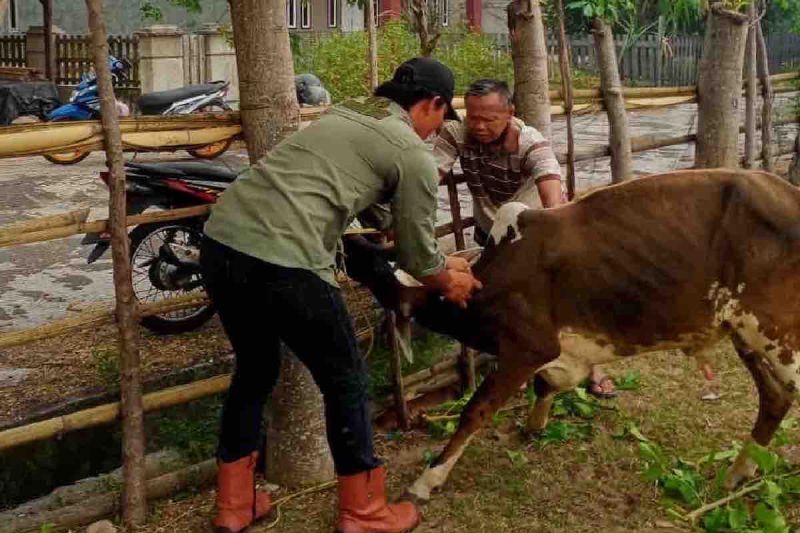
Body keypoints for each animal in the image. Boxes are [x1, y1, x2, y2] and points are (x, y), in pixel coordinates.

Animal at [406, 168, 800, 500]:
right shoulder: (563, 353)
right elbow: (545, 385)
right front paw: (534, 426)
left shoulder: (528, 347)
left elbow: (476, 410)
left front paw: (426, 480)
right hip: (745, 333)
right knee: (775, 395)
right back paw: (738, 471)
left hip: (776, 334)